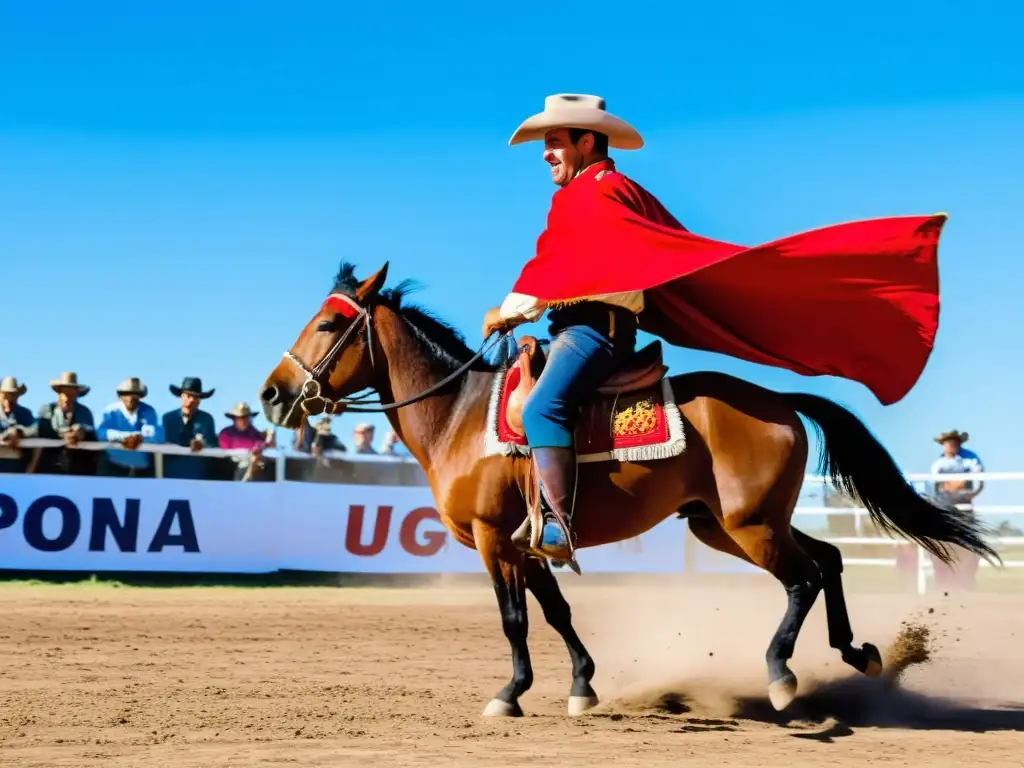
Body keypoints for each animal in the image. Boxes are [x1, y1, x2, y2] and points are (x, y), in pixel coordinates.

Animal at [258, 262, 999, 720]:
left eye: (328, 325)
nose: (271, 394)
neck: (459, 415)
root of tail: (779, 399)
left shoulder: (497, 542)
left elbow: (515, 619)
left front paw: (510, 693)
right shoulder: (532, 543)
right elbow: (556, 612)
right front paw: (583, 686)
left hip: (751, 526)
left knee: (804, 577)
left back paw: (782, 676)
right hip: (727, 524)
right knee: (832, 560)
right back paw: (858, 653)